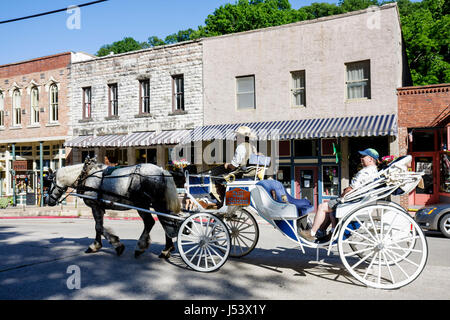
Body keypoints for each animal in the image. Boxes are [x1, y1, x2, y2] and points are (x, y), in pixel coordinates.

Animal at [44, 159, 180, 258]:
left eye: (49, 182)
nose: (47, 200)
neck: (86, 175)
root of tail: (161, 171)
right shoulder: (99, 207)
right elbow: (98, 226)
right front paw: (96, 245)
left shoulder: (95, 205)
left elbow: (99, 227)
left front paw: (116, 245)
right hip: (154, 203)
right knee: (166, 221)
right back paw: (166, 249)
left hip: (143, 204)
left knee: (152, 222)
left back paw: (141, 247)